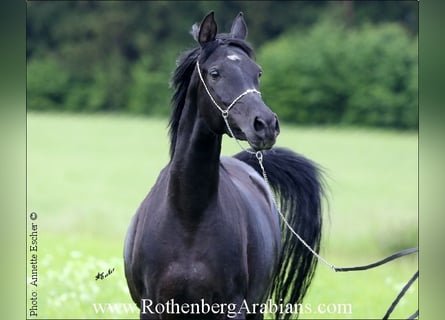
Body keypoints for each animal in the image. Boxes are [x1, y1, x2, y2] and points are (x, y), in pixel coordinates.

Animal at [125, 11, 322, 318]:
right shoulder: (153, 308)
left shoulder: (232, 307)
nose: (265, 125)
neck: (188, 217)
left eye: (258, 72)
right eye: (215, 73)